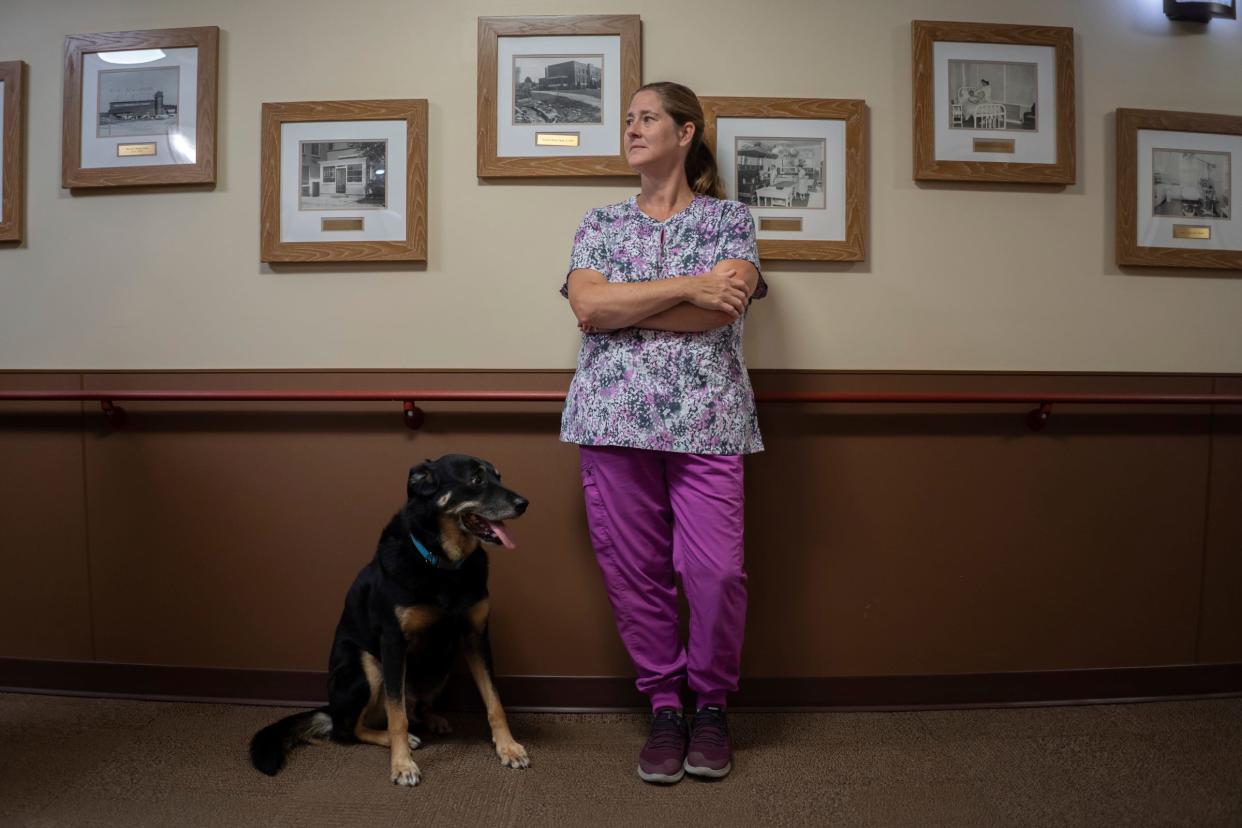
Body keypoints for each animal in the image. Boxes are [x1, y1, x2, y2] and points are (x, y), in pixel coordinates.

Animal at [247, 456, 529, 789]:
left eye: (499, 477)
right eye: (476, 480)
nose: (524, 503)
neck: (443, 565)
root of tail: (331, 709)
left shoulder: (476, 637)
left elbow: (494, 701)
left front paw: (508, 747)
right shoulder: (393, 642)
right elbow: (398, 716)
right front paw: (402, 763)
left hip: (442, 665)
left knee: (415, 707)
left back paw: (432, 719)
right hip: (367, 667)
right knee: (348, 730)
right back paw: (400, 739)